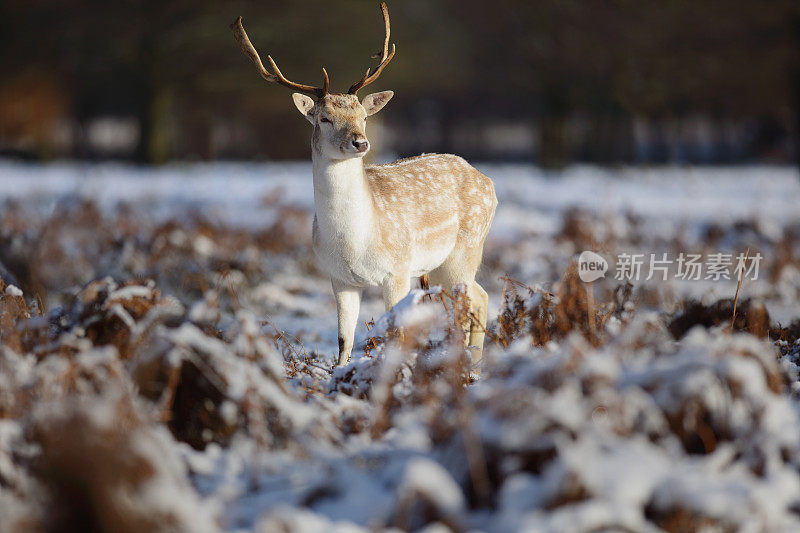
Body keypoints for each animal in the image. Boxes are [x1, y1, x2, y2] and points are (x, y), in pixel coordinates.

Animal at [228, 2, 496, 368]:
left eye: (364, 116)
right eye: (324, 118)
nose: (360, 142)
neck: (354, 243)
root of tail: (486, 180)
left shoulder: (397, 271)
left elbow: (397, 334)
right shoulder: (338, 277)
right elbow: (344, 340)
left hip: (466, 249)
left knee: (470, 301)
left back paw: (470, 364)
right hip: (443, 264)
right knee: (481, 296)